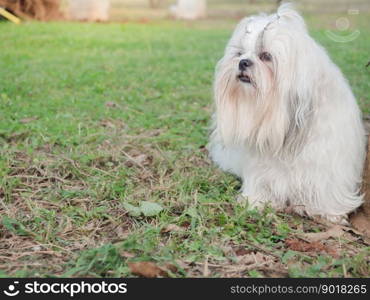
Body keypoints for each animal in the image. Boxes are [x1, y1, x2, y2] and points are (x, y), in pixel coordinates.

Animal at [208, 2, 368, 223]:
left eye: (266, 56)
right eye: (239, 54)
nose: (243, 62)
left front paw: (326, 211)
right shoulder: (261, 167)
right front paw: (257, 202)